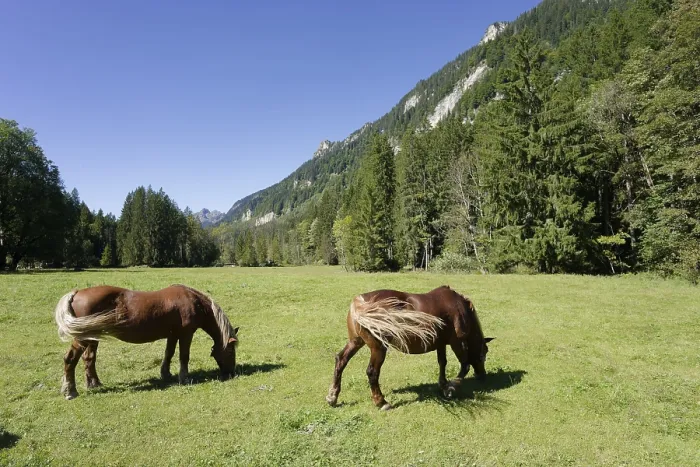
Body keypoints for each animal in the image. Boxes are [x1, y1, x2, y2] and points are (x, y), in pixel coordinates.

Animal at [54, 284, 239, 400]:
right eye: (231, 350)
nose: (231, 373)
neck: (193, 301)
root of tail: (76, 293)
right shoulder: (186, 334)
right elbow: (183, 356)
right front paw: (184, 378)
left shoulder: (173, 335)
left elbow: (169, 353)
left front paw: (166, 374)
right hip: (83, 338)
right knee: (70, 359)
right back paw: (70, 391)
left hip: (93, 337)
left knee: (89, 359)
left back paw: (94, 384)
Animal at [326, 285, 494, 410]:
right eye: (483, 354)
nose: (483, 376)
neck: (459, 307)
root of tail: (359, 303)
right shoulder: (457, 342)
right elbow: (465, 366)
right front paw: (452, 388)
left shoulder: (441, 343)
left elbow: (442, 363)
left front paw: (444, 385)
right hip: (378, 348)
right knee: (372, 372)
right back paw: (382, 402)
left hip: (356, 342)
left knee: (341, 360)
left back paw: (332, 396)